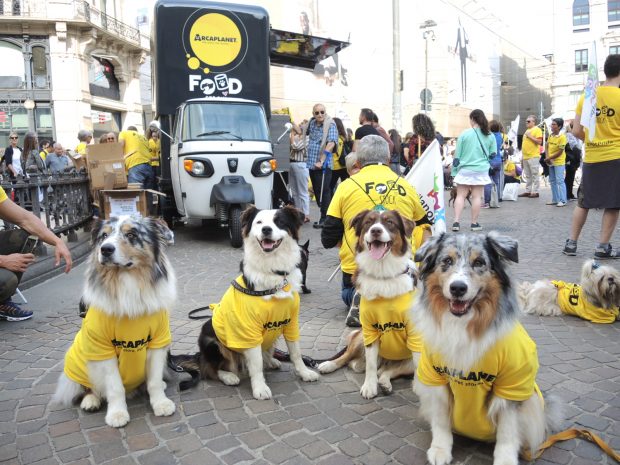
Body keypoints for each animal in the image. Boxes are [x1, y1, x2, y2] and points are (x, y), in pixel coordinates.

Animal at [50, 216, 177, 426]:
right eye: (104, 236)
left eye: (131, 234)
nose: (105, 249)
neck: (127, 281)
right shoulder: (102, 350)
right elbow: (115, 387)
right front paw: (117, 414)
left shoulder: (158, 343)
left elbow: (154, 381)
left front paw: (161, 403)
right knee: (88, 388)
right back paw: (90, 401)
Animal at [168, 206, 320, 398]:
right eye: (259, 222)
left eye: (279, 222)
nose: (266, 230)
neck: (273, 272)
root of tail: (199, 355)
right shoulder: (249, 330)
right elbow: (255, 364)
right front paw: (260, 388)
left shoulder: (291, 322)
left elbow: (296, 353)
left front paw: (304, 372)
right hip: (211, 341)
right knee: (210, 369)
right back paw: (229, 376)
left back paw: (271, 361)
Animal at [320, 210, 422, 398]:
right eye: (368, 222)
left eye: (390, 222)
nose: (375, 230)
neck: (383, 274)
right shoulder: (369, 329)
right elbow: (371, 365)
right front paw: (369, 386)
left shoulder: (415, 334)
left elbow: (419, 364)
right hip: (360, 338)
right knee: (348, 357)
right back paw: (328, 365)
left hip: (404, 361)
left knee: (387, 371)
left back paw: (385, 383)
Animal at [410, 232, 560, 464]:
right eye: (447, 261)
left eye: (479, 262)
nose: (458, 288)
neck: (463, 326)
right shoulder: (436, 378)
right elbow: (441, 420)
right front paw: (440, 449)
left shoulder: (512, 385)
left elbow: (507, 432)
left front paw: (505, 459)